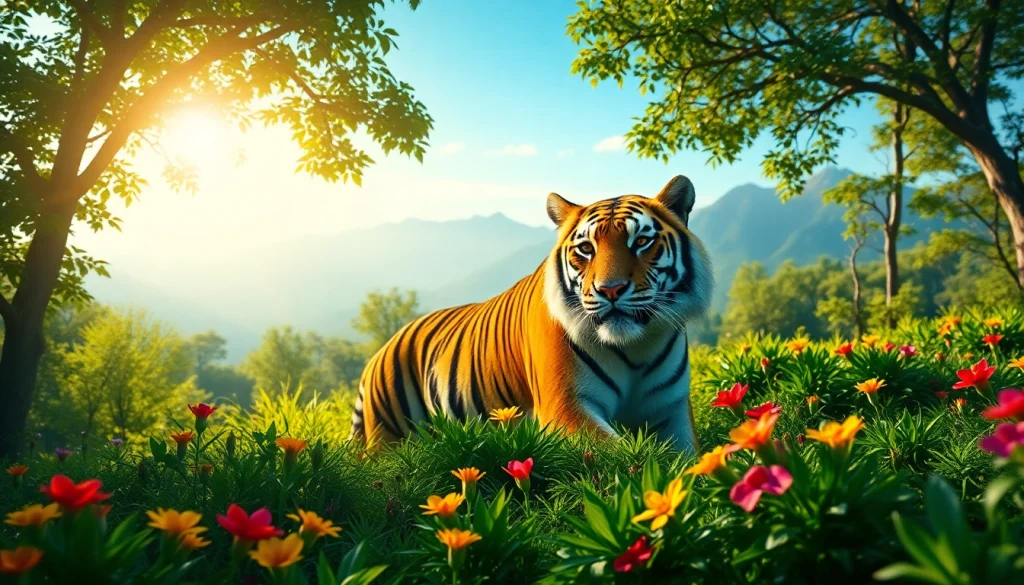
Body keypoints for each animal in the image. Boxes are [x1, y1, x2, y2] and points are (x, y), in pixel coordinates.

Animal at [350, 174, 714, 453]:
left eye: (640, 242)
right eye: (586, 248)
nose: (610, 290)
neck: (635, 348)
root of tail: (379, 352)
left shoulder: (671, 408)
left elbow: (689, 460)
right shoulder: (565, 406)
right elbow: (627, 457)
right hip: (388, 440)